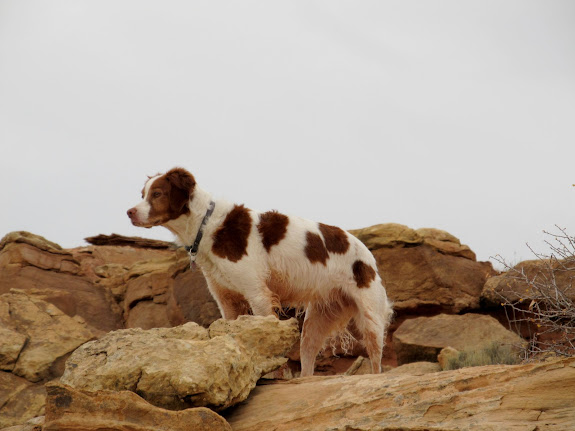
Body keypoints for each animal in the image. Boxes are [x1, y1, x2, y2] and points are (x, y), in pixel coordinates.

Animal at [127, 167, 394, 376]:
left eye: (157, 194)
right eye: (143, 195)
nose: (129, 212)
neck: (209, 225)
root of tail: (366, 252)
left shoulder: (258, 294)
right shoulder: (227, 301)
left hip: (370, 316)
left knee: (376, 359)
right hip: (316, 321)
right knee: (308, 357)